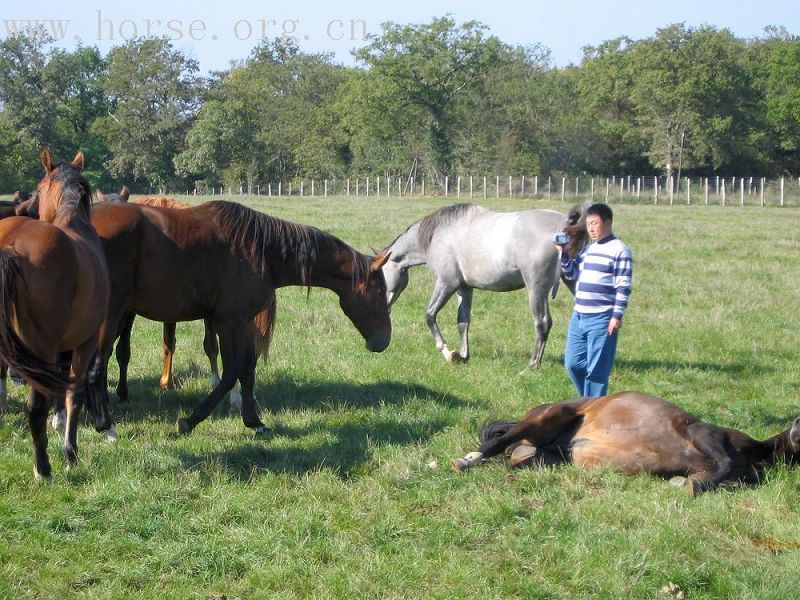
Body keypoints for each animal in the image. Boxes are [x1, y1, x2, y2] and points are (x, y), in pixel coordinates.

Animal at [0, 152, 111, 480]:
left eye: (39, 187)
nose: (29, 209)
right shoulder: (85, 343)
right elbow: (73, 392)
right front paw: (70, 451)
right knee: (36, 407)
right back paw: (43, 468)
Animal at [89, 202, 392, 436]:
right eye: (380, 291)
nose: (383, 341)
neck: (261, 251)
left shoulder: (244, 321)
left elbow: (247, 369)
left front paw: (255, 421)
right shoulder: (229, 322)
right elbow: (231, 371)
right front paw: (190, 420)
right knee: (96, 365)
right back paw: (106, 425)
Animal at [382, 204, 588, 368]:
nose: (385, 308)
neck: (439, 234)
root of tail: (565, 224)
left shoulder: (447, 283)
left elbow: (430, 315)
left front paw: (447, 353)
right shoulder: (464, 288)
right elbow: (463, 322)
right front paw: (463, 356)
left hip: (536, 290)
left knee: (543, 323)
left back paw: (532, 365)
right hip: (574, 283)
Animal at [450, 392, 800, 494]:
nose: (797, 426)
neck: (757, 452)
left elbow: (717, 478)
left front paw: (685, 484)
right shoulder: (704, 434)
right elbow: (723, 464)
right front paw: (690, 487)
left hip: (540, 457)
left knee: (513, 452)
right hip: (548, 417)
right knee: (499, 442)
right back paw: (466, 460)